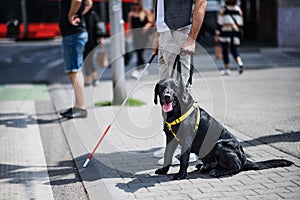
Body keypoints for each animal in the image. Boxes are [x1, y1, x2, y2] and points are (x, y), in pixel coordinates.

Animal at [155, 77, 292, 180]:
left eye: (175, 87)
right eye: (162, 87)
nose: (167, 96)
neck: (176, 113)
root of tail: (244, 159)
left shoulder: (186, 140)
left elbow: (184, 159)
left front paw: (181, 175)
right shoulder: (170, 138)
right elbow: (167, 155)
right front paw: (163, 170)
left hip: (220, 145)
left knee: (237, 168)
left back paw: (217, 171)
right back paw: (204, 167)